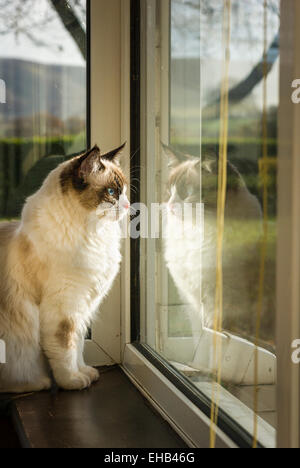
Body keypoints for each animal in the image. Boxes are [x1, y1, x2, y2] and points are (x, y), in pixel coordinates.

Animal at [0, 144, 129, 394]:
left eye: (126, 191)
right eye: (111, 191)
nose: (129, 205)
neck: (93, 234)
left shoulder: (83, 306)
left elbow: (77, 346)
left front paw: (85, 372)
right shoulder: (64, 307)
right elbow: (65, 348)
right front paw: (72, 381)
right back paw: (36, 383)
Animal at [163, 146, 274, 344]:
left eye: (185, 193)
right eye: (169, 192)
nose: (169, 206)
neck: (196, 232)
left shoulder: (223, 303)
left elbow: (216, 331)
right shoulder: (191, 301)